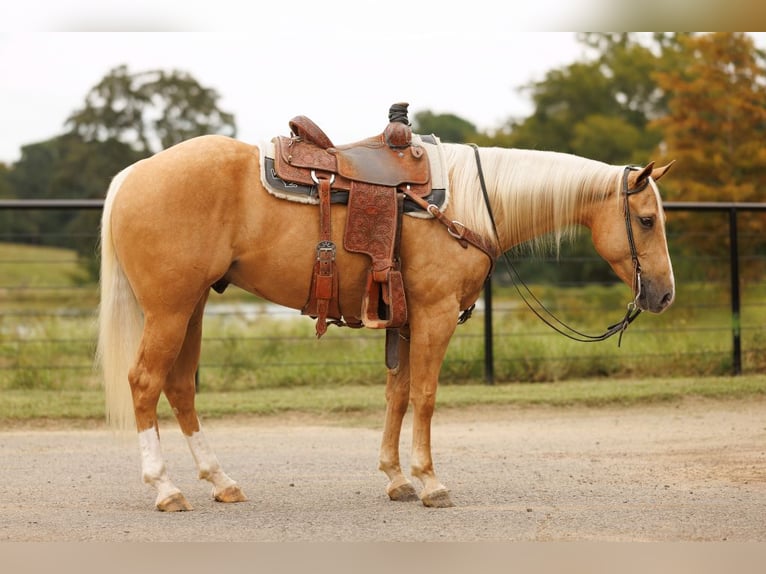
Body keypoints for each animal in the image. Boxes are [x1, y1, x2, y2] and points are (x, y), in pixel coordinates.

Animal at [97, 132, 675, 511]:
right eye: (647, 220)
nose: (664, 294)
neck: (469, 203)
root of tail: (134, 172)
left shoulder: (407, 320)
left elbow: (397, 394)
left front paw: (397, 479)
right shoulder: (436, 314)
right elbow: (425, 395)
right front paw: (430, 481)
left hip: (191, 307)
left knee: (180, 387)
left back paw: (220, 482)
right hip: (170, 310)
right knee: (145, 383)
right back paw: (166, 489)